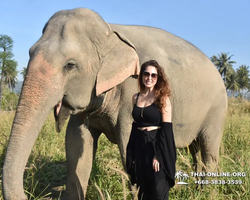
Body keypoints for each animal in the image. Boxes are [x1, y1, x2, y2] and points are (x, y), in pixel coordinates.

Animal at [2, 7, 228, 200]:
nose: (30, 194)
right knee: (196, 152)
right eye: (30, 52)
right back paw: (196, 192)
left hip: (216, 110)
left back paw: (207, 194)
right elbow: (76, 145)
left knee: (208, 152)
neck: (109, 33)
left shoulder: (131, 94)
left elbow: (130, 146)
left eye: (70, 65)